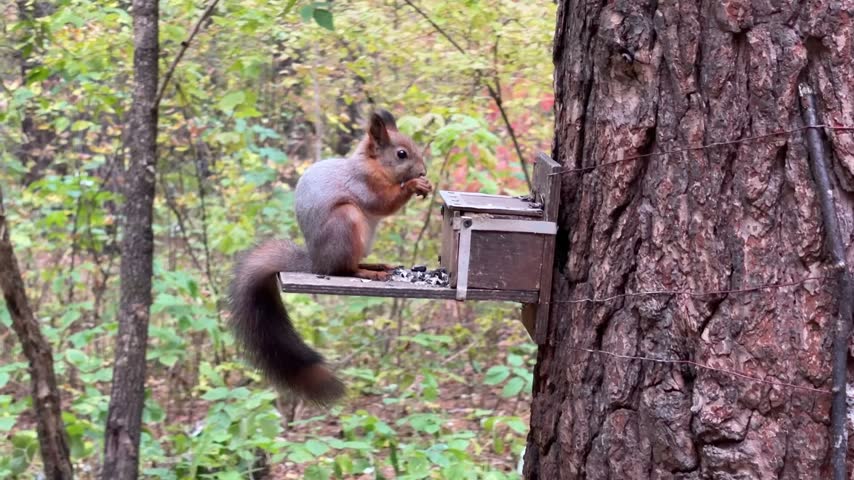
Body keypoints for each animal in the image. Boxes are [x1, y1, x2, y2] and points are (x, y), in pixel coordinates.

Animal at [228, 109, 432, 404]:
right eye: (401, 154)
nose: (423, 171)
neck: (373, 166)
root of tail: (316, 262)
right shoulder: (363, 184)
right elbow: (382, 202)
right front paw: (415, 184)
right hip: (346, 221)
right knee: (342, 270)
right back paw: (367, 272)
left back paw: (375, 265)